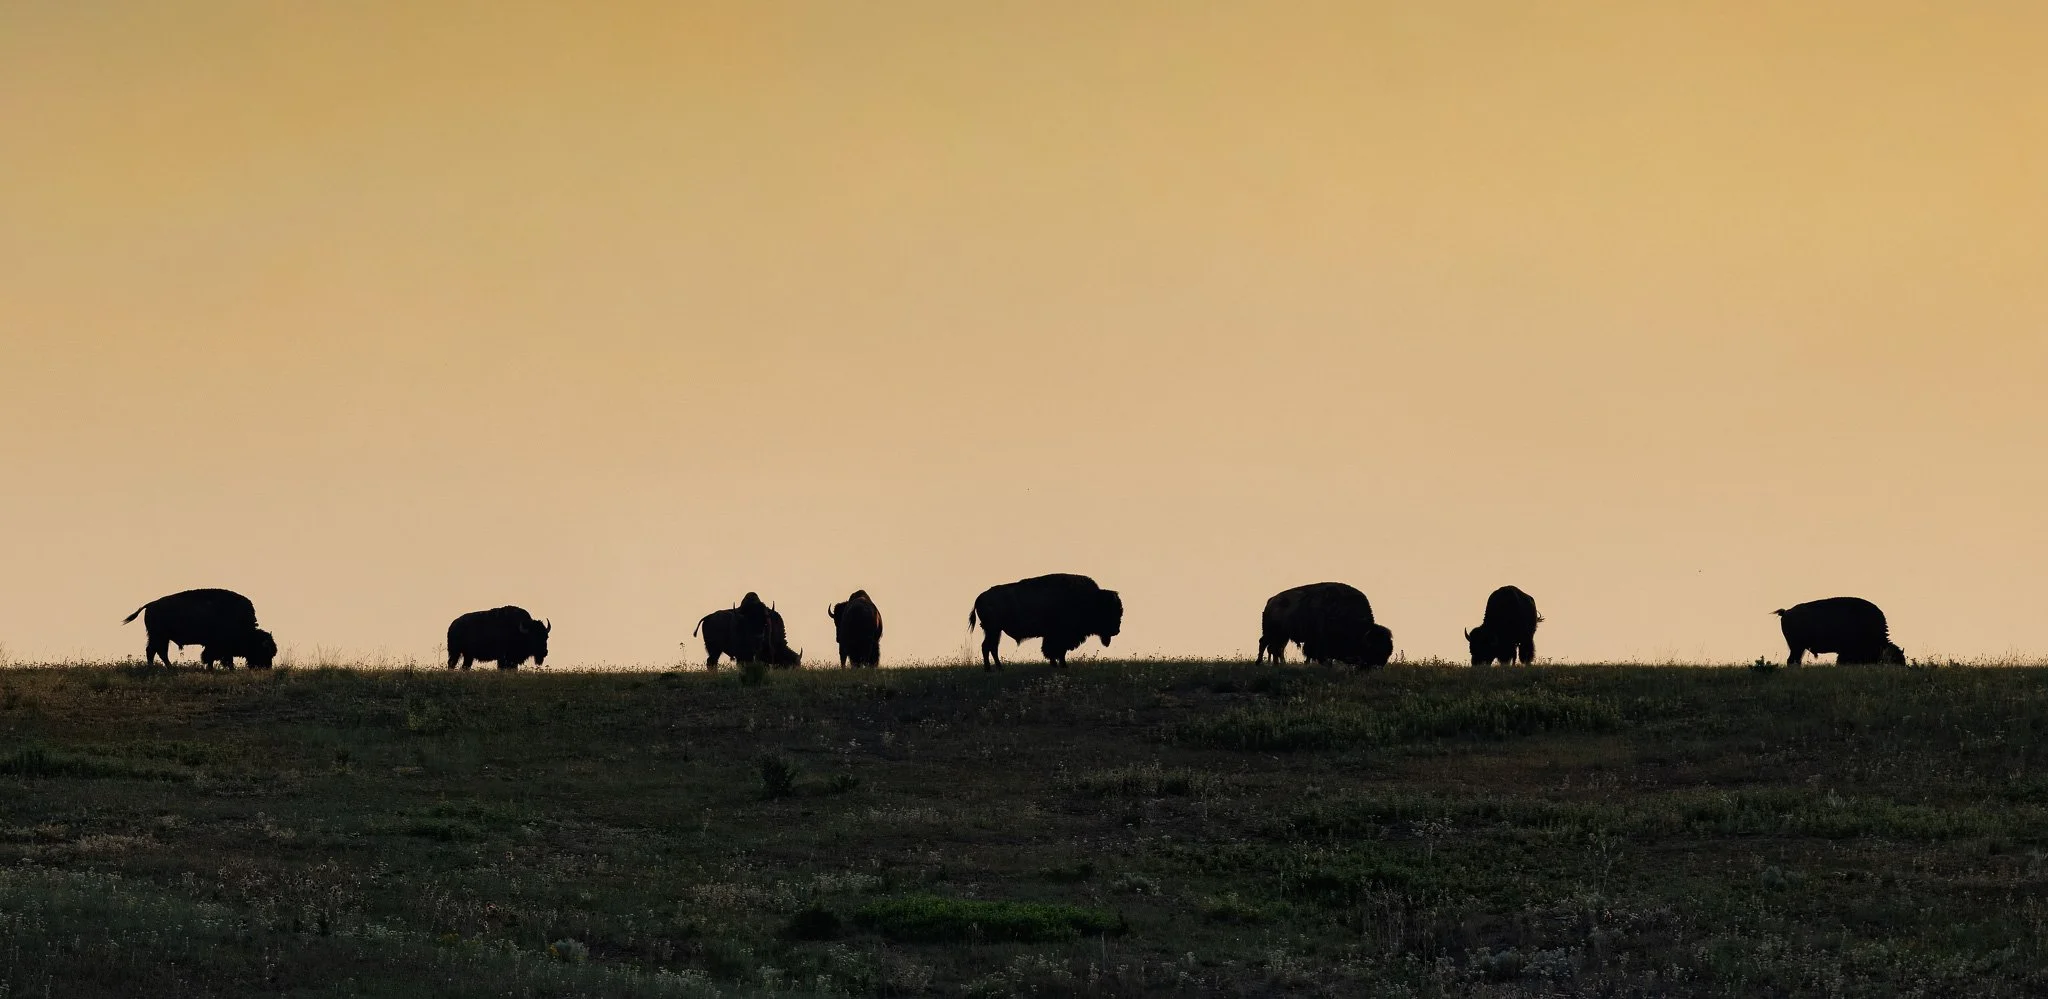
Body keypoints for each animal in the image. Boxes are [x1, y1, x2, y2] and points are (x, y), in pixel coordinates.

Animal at [122, 588, 275, 668]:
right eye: (265, 650)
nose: (267, 667)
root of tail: (150, 604)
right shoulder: (219, 645)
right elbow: (214, 657)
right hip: (159, 636)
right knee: (153, 651)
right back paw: (159, 668)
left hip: (162, 638)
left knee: (158, 652)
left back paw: (168, 668)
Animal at [968, 573, 1122, 669]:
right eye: (1110, 611)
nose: (1116, 630)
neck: (1091, 600)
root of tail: (980, 597)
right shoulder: (1058, 636)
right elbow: (1056, 650)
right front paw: (1062, 665)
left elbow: (1056, 651)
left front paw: (1057, 664)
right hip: (993, 630)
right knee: (988, 647)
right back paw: (991, 669)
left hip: (994, 631)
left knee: (991, 647)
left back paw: (998, 668)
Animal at [1257, 582, 1393, 668]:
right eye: (1372, 650)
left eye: (1388, 651)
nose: (1379, 665)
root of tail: (1271, 600)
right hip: (1271, 633)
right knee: (1265, 644)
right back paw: (1259, 663)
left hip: (1282, 636)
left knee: (1274, 648)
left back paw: (1276, 665)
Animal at [1775, 597, 1905, 666]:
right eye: (1894, 660)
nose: (1903, 668)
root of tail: (1786, 612)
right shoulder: (1845, 652)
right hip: (1797, 647)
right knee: (1792, 661)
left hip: (1799, 648)